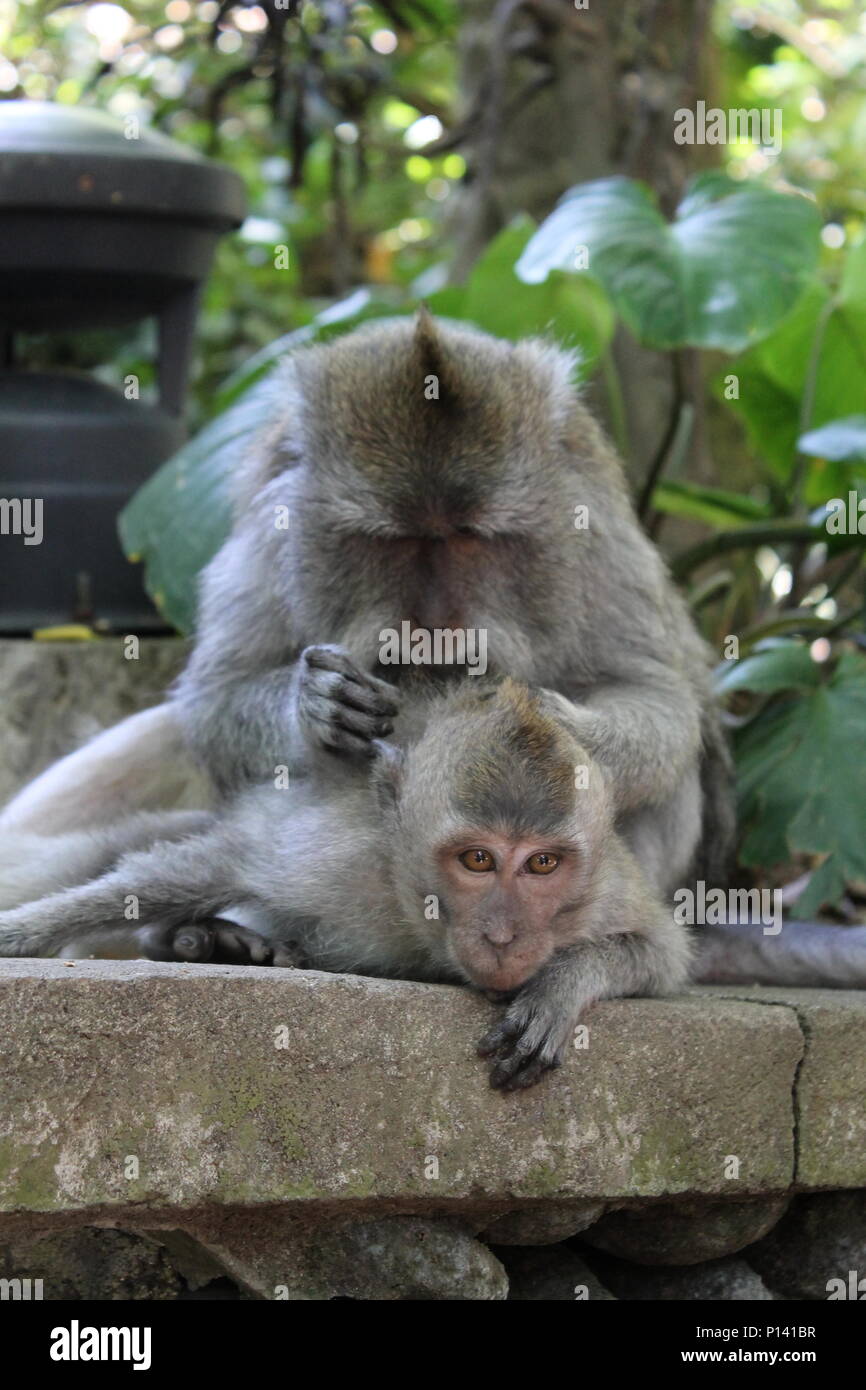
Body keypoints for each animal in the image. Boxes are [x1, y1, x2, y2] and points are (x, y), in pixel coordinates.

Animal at [0, 679, 692, 1090]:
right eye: (477, 860)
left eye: (542, 865)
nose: (504, 936)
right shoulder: (334, 856)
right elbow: (210, 866)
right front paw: (23, 932)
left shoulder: (602, 890)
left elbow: (661, 953)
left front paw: (558, 989)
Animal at [1, 311, 862, 989]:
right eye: (399, 543)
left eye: (472, 541)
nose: (438, 624)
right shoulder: (277, 521)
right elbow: (216, 695)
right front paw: (316, 708)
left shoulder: (588, 524)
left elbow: (655, 690)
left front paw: (564, 727)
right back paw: (202, 933)